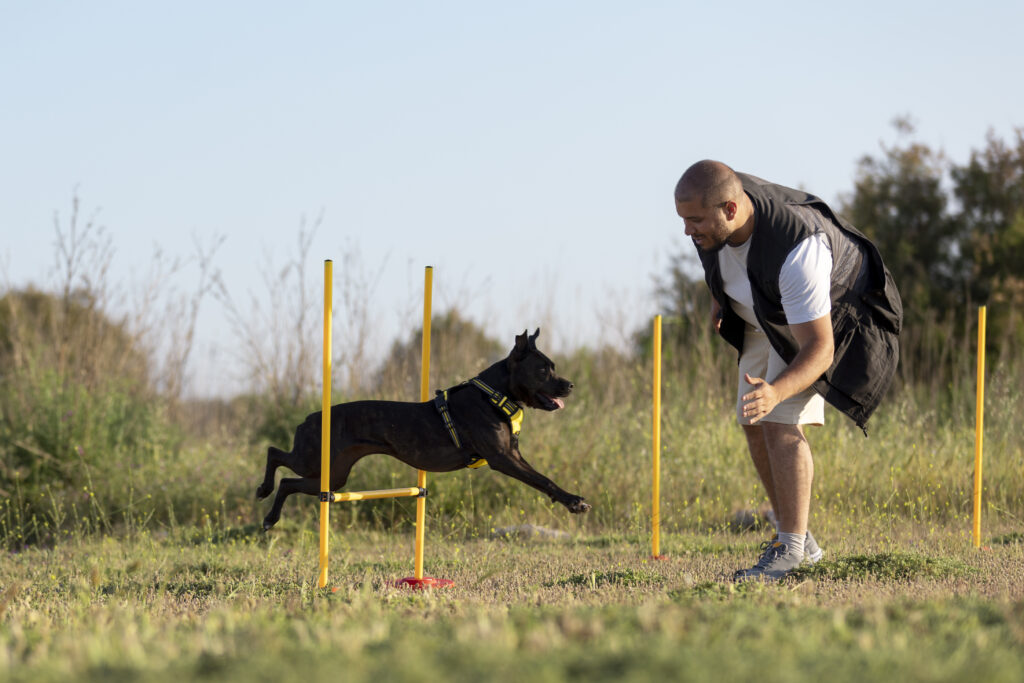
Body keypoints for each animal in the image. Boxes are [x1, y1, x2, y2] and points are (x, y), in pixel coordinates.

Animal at [258, 327, 593, 532]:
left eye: (552, 366)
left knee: (288, 482)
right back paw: (263, 492)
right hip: (315, 459)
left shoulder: (513, 454)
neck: (494, 394)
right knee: (275, 453)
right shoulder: (503, 459)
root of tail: (309, 417)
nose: (571, 385)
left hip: (333, 476)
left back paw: (270, 516)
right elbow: (543, 479)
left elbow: (543, 478)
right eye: (543, 369)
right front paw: (575, 502)